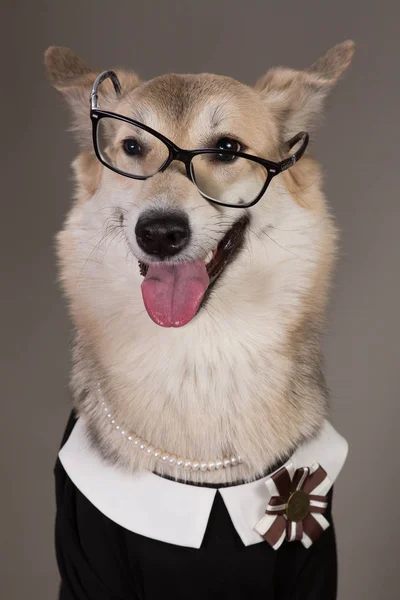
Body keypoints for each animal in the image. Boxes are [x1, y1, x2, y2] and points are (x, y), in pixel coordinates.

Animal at [45, 39, 354, 596]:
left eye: (227, 149)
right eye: (131, 148)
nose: (160, 233)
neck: (197, 358)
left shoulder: (314, 562)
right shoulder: (86, 557)